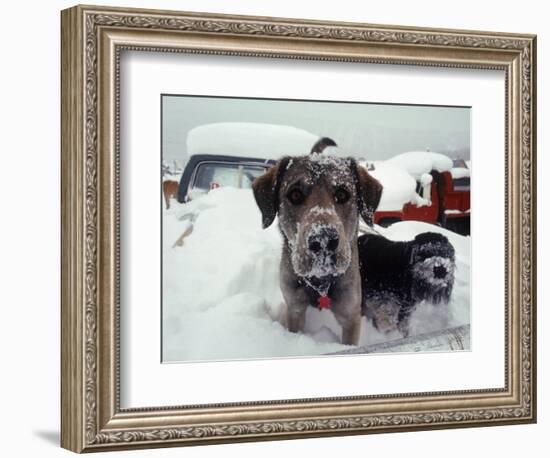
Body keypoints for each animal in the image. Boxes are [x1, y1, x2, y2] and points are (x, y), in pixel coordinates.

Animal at [254, 152, 384, 346]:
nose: (323, 240)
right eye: (295, 194)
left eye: (342, 194)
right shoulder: (294, 307)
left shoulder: (351, 314)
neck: (320, 281)